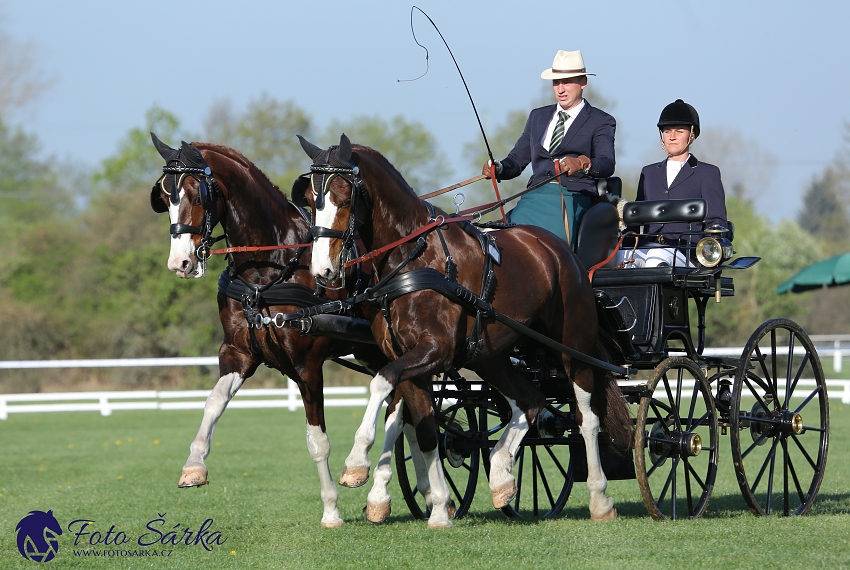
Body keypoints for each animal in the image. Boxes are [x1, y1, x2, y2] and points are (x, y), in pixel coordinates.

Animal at [149, 133, 388, 524]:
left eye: (197, 195)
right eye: (165, 195)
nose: (180, 263)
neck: (269, 269)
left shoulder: (307, 365)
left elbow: (317, 441)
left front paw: (331, 510)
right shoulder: (238, 352)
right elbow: (213, 402)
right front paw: (194, 465)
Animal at [298, 133, 628, 524]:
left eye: (345, 197)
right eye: (310, 201)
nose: (323, 271)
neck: (413, 260)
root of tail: (560, 250)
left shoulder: (434, 352)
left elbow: (381, 383)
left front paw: (357, 462)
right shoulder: (411, 360)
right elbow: (424, 429)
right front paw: (439, 506)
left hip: (572, 347)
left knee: (586, 417)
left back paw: (600, 499)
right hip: (490, 356)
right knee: (531, 401)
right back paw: (501, 474)